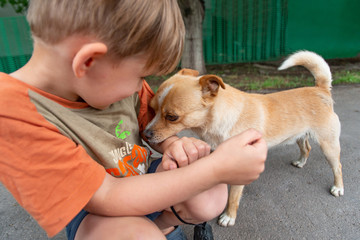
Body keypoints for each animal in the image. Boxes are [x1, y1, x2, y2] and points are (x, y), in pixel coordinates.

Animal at [145, 51, 344, 227]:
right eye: (151, 108)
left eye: (172, 117)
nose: (145, 134)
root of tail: (321, 88)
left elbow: (233, 197)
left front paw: (228, 217)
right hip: (300, 136)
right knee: (306, 148)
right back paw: (301, 162)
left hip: (328, 145)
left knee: (337, 166)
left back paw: (338, 187)